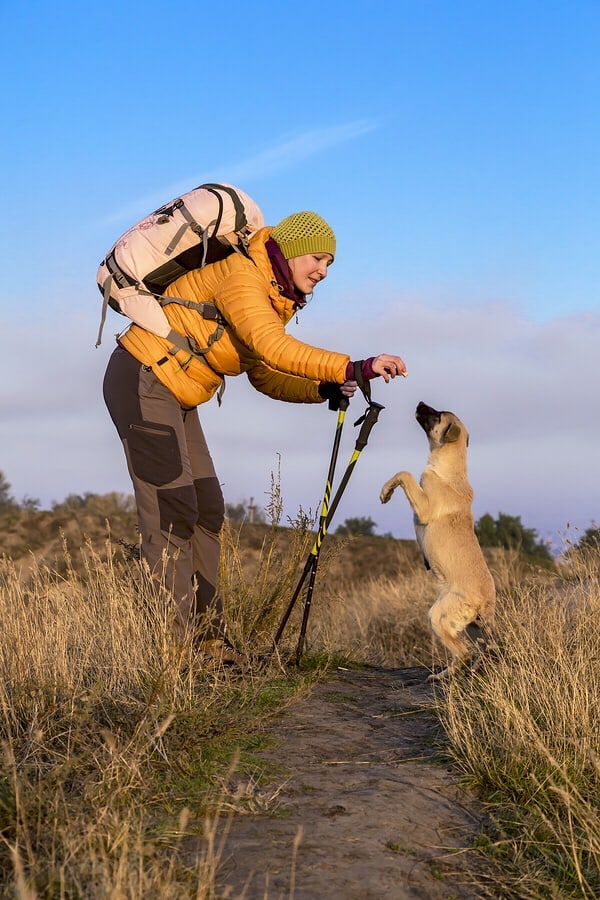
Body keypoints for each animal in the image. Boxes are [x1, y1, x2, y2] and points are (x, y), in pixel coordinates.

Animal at [382, 404, 494, 680]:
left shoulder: (424, 507)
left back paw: (444, 676)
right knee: (481, 649)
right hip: (472, 627)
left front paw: (385, 491)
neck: (449, 468)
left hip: (439, 617)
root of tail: (487, 602)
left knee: (463, 653)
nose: (420, 403)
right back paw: (473, 671)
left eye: (438, 414)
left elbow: (404, 473)